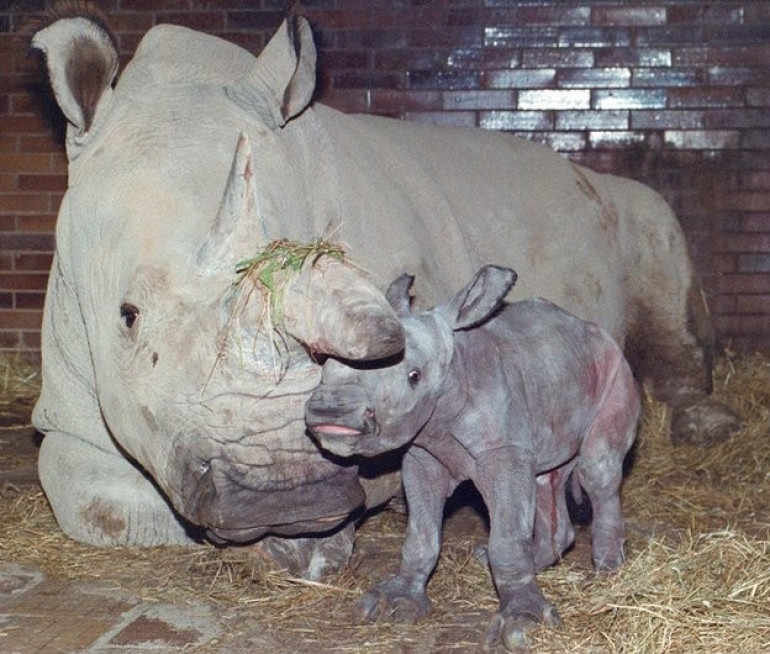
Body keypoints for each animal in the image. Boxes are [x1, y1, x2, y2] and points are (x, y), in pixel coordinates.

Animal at [30, 7, 737, 575]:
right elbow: (98, 501)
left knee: (657, 235)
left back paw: (705, 424)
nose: (286, 496)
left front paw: (309, 545)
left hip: (631, 207)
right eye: (127, 316)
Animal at [306, 265, 640, 650]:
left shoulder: (503, 452)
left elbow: (507, 538)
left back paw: (607, 576)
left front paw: (524, 626)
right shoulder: (422, 455)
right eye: (324, 367)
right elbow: (420, 534)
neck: (453, 373)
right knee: (547, 478)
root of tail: (593, 330)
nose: (330, 412)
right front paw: (393, 603)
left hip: (616, 372)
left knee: (597, 471)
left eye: (414, 376)